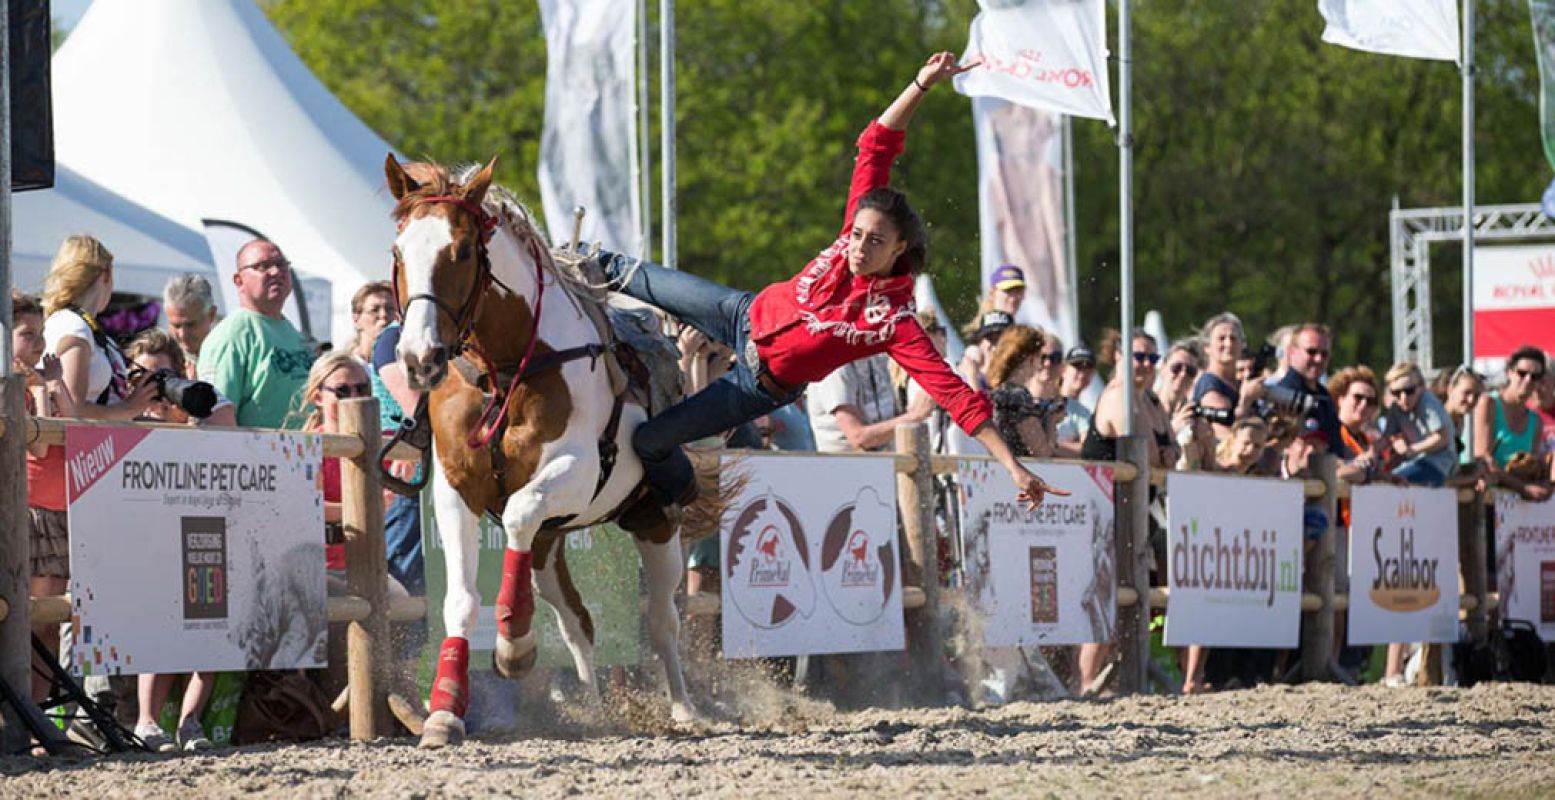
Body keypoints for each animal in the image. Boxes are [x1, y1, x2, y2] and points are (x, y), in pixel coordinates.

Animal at [388, 155, 699, 747]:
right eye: (398, 251)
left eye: (462, 251)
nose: (418, 358)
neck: (509, 368)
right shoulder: (456, 489)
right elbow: (462, 600)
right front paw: (445, 709)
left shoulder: (576, 470)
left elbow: (517, 511)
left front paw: (514, 647)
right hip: (551, 547)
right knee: (577, 622)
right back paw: (597, 712)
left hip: (653, 520)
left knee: (662, 620)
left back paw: (683, 708)